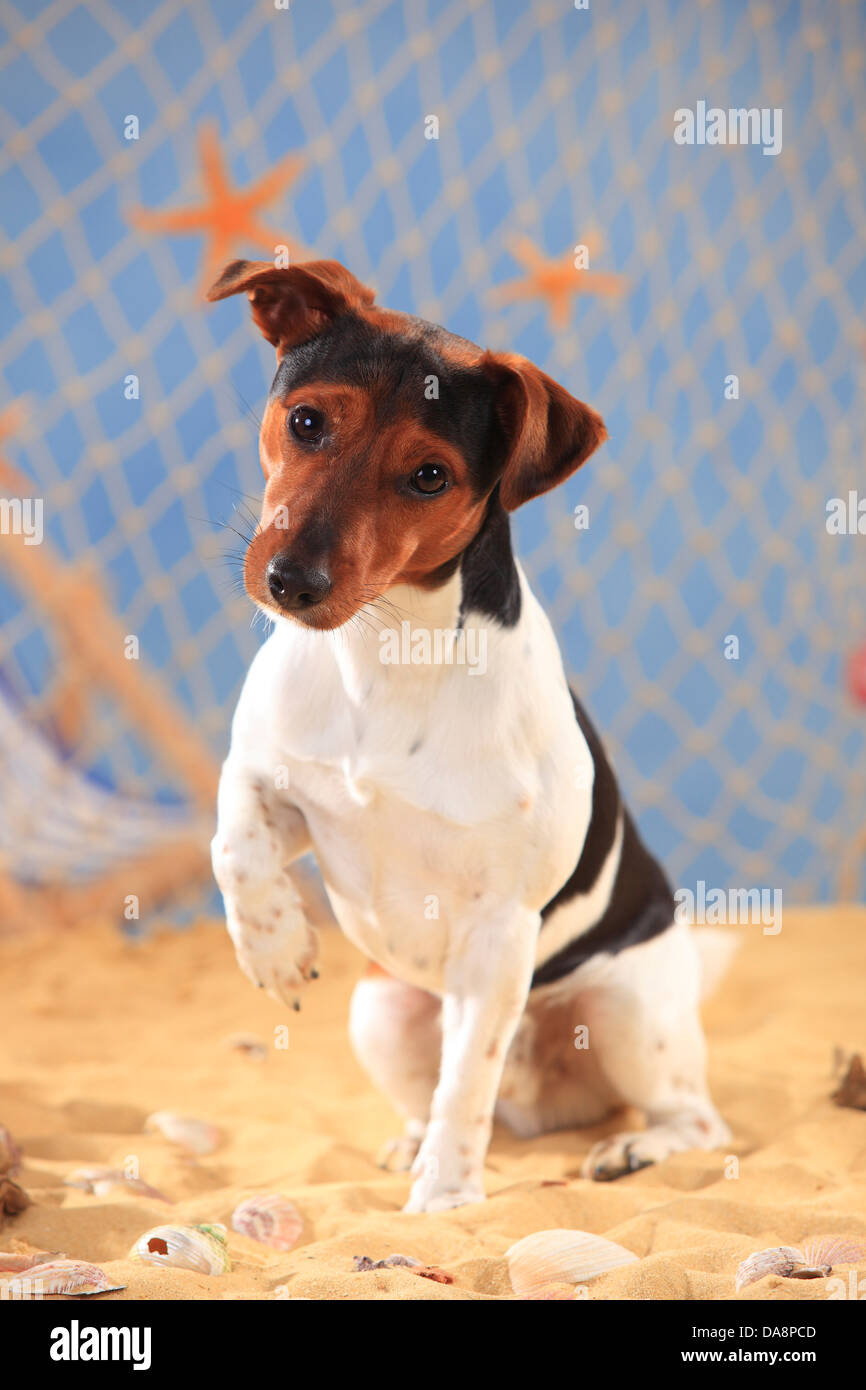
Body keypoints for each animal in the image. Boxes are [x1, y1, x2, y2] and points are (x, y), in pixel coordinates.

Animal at [207, 255, 728, 1212]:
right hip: (382, 1009)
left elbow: (466, 1088)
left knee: (689, 1119)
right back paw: (411, 1143)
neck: (385, 653)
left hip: (625, 1012)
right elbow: (236, 847)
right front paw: (274, 948)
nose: (291, 582)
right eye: (307, 421)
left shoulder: (498, 930)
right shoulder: (271, 782)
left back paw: (628, 1148)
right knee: (448, 1093)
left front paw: (445, 1203)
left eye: (428, 476)